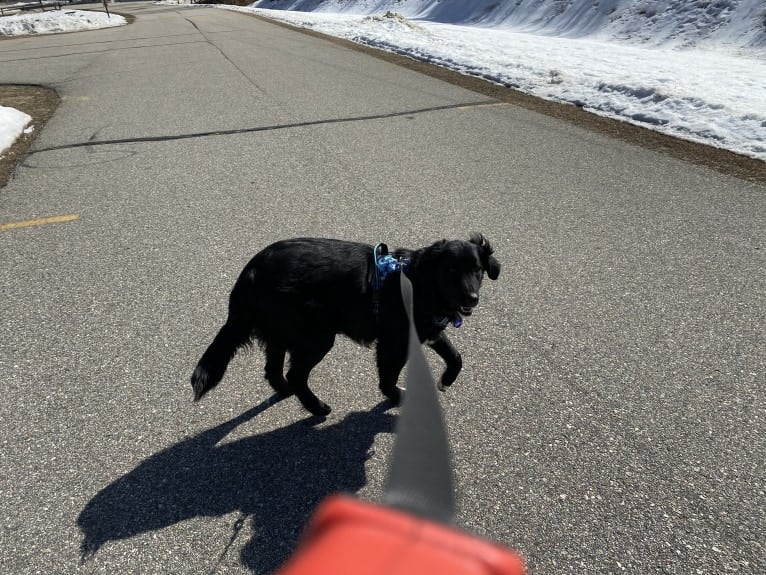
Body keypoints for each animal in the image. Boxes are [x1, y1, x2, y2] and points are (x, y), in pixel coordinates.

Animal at [192, 232, 504, 416]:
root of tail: (251, 271)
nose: (472, 298)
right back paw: (317, 408)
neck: (420, 282)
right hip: (317, 336)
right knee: (296, 374)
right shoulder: (394, 341)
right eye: (450, 270)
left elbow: (455, 356)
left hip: (284, 331)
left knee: (273, 370)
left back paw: (288, 392)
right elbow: (388, 377)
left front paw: (445, 380)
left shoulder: (427, 330)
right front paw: (396, 398)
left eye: (477, 270)